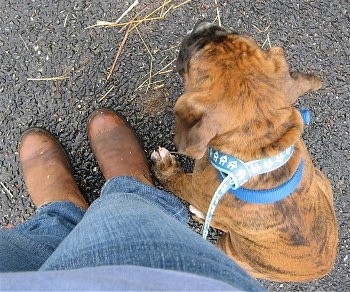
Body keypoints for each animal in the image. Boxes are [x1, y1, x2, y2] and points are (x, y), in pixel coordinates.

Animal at [152, 21, 338, 282]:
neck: (262, 153)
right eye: (235, 33)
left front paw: (165, 167)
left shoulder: (195, 189)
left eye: (193, 57)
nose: (205, 25)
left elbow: (177, 182)